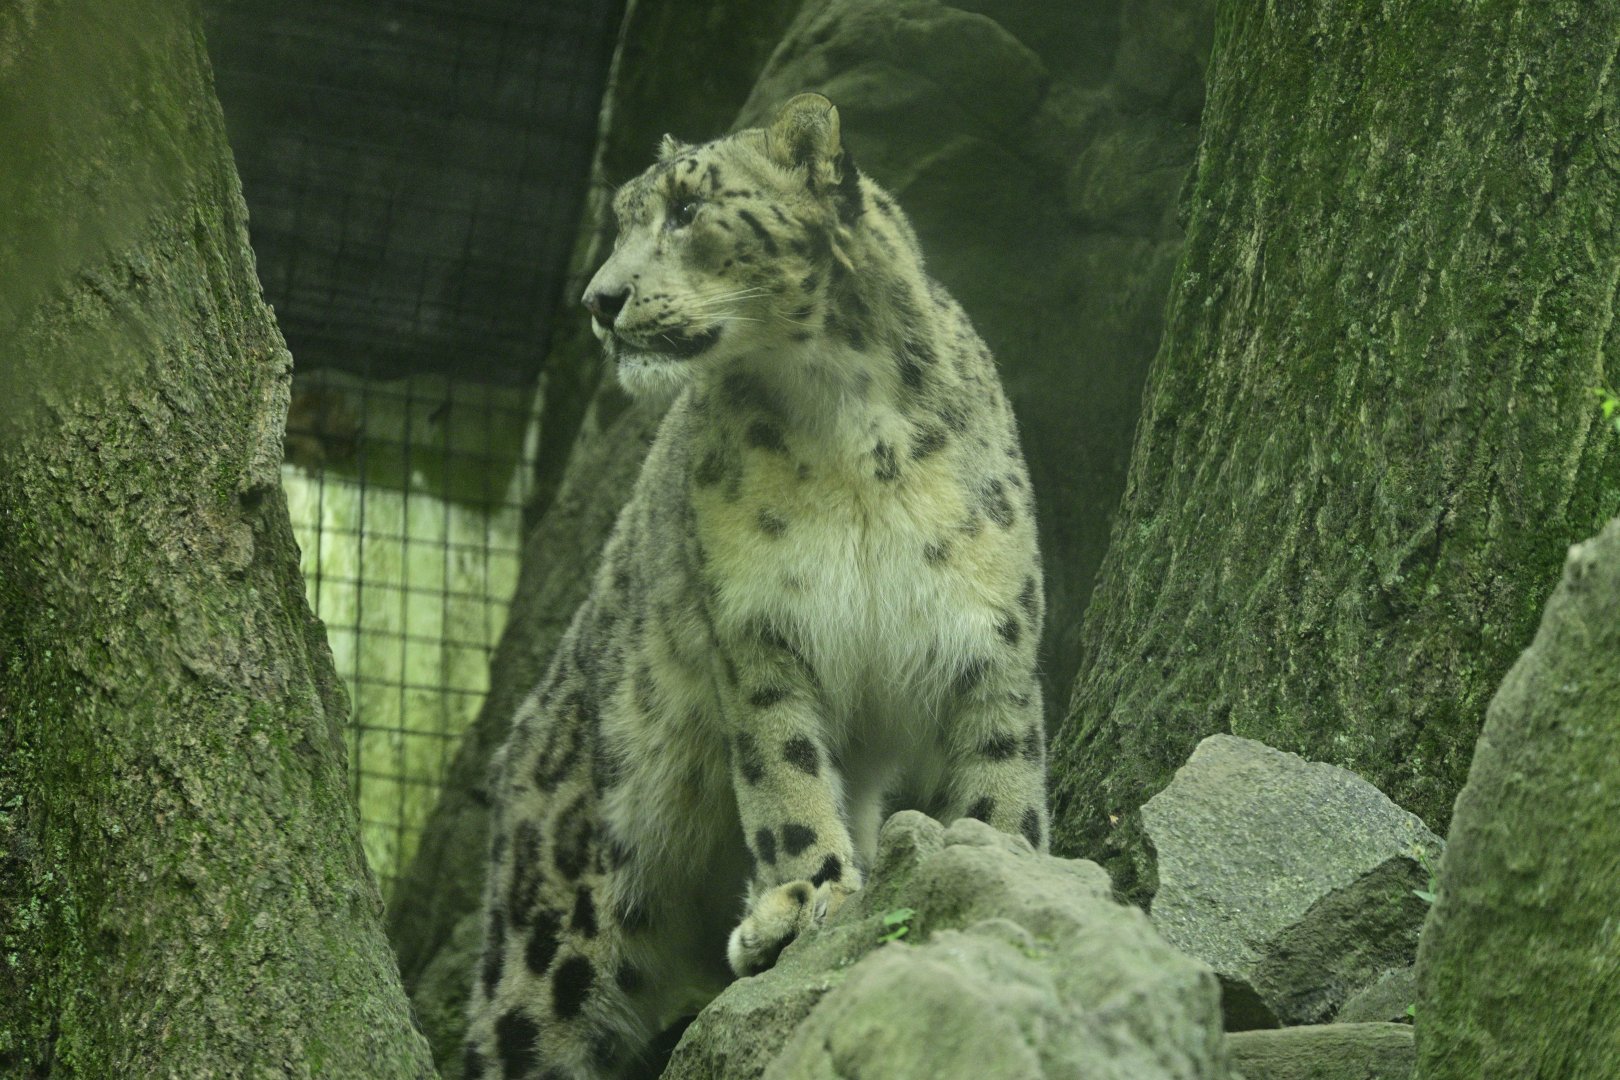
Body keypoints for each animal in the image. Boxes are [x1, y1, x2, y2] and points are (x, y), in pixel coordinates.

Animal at [464, 92, 1047, 1080]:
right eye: (623, 218)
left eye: (688, 209)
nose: (599, 301)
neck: (849, 420)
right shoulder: (759, 627)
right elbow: (784, 772)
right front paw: (805, 897)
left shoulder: (990, 626)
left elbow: (1001, 774)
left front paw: (1004, 862)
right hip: (547, 942)